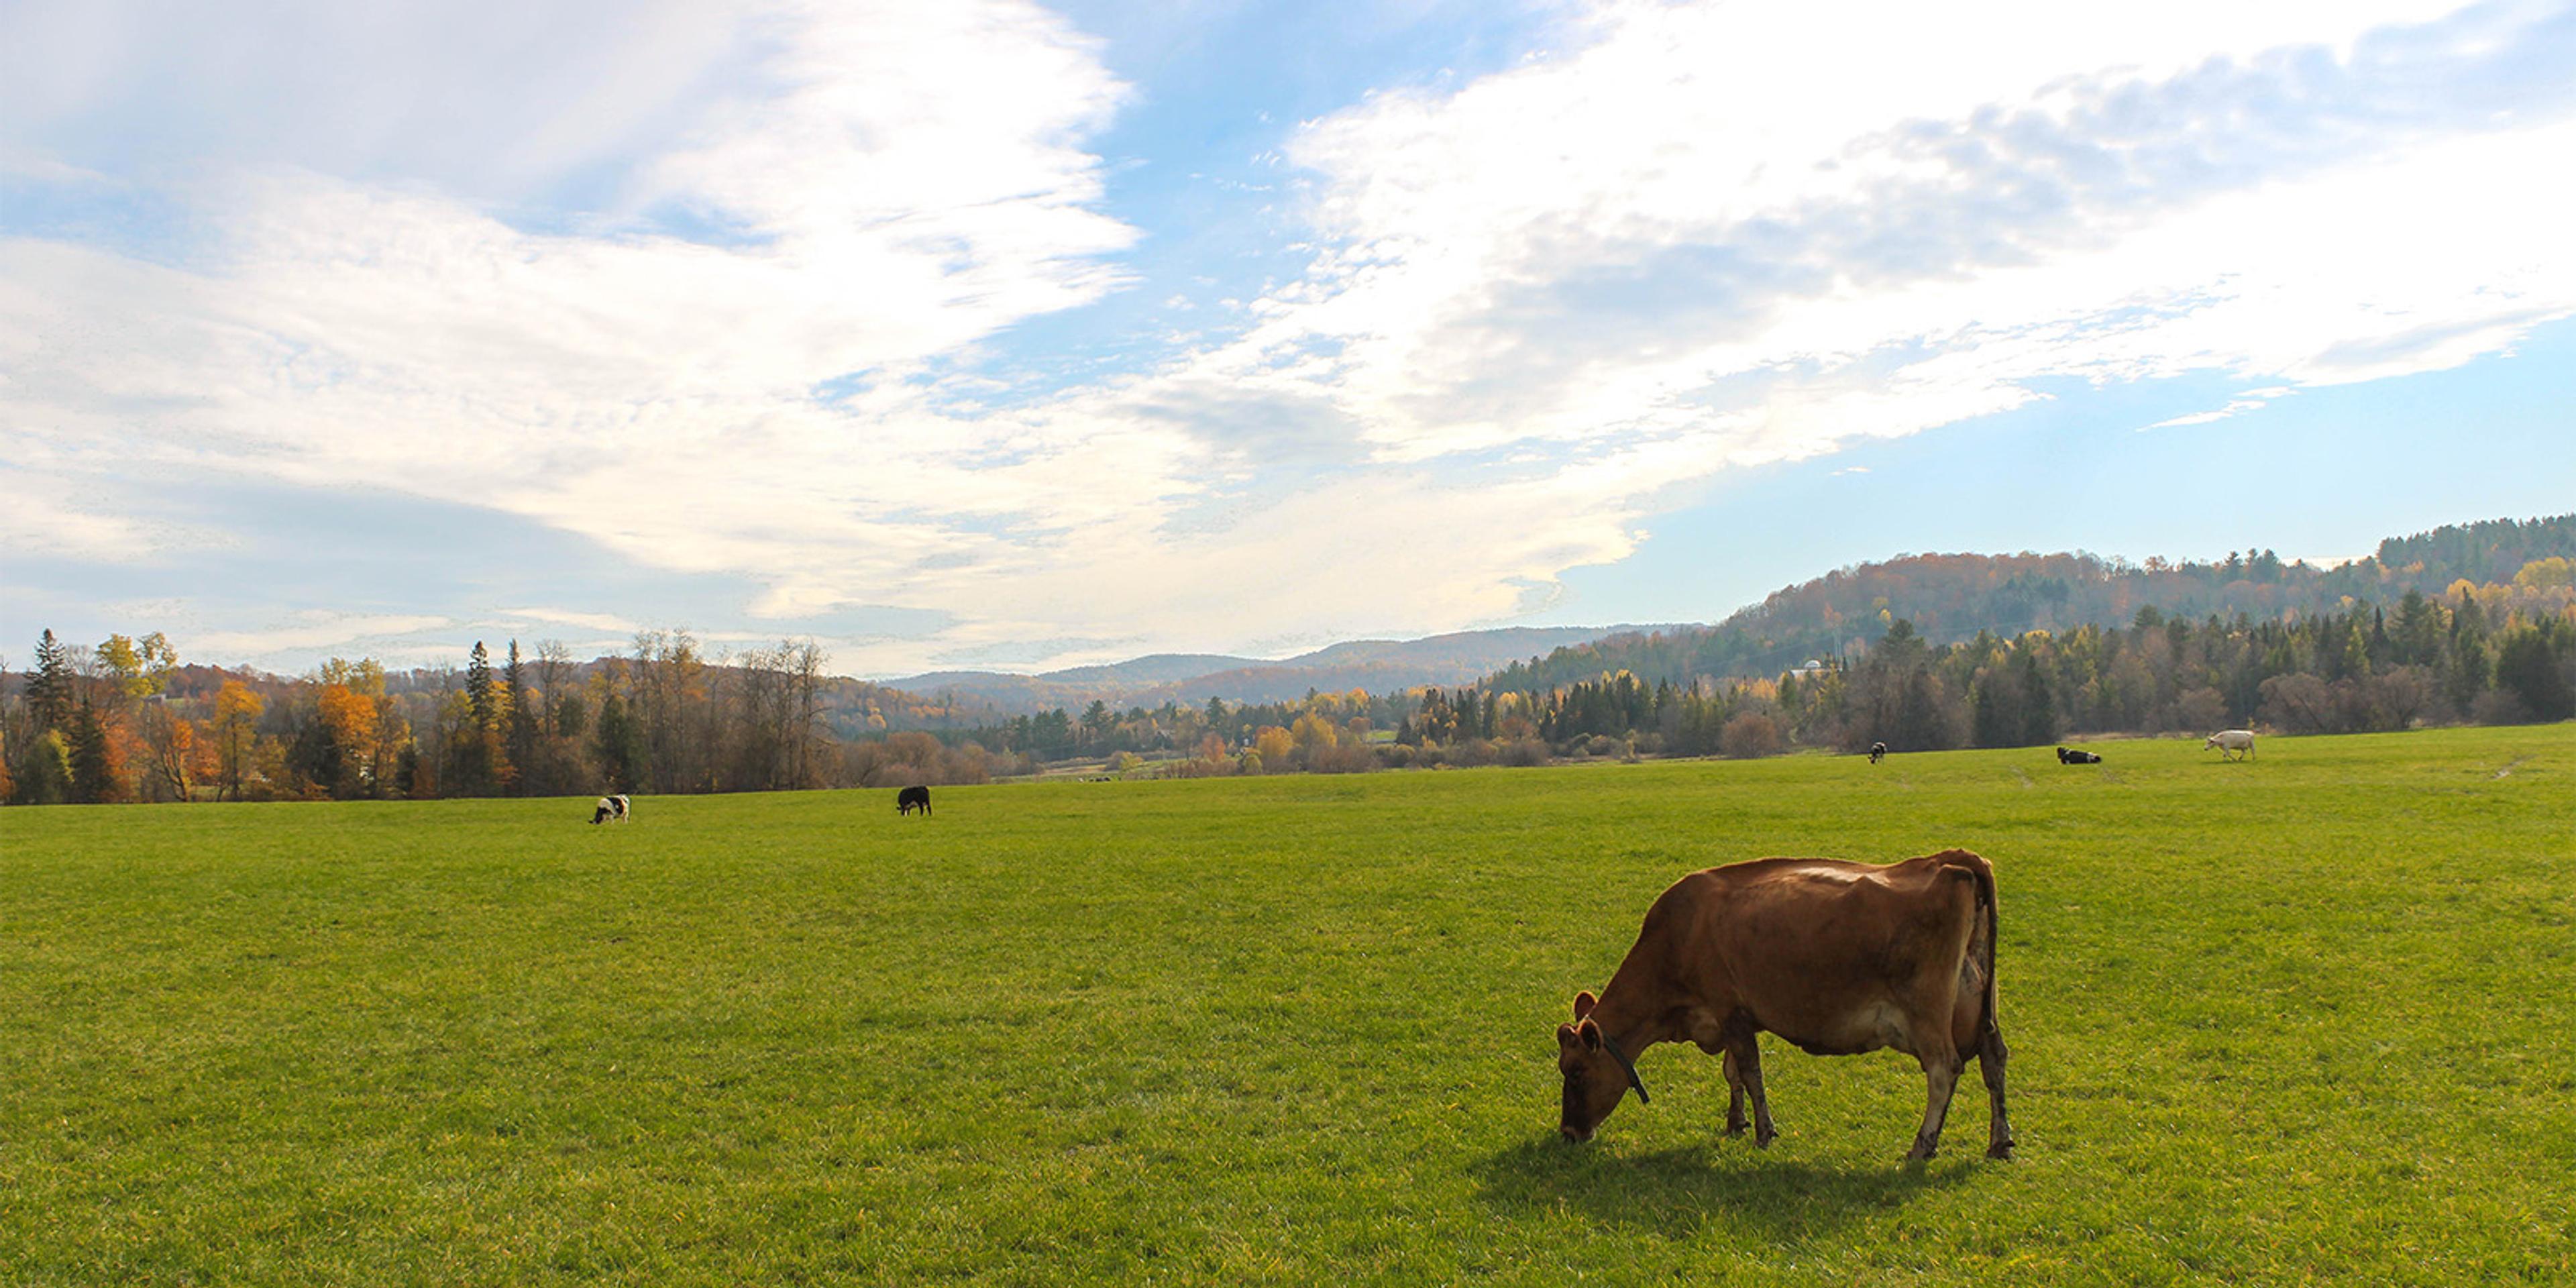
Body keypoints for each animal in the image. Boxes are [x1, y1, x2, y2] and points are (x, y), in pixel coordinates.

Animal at [1554, 849, 2013, 1163]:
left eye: (1575, 1072)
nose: (1568, 1133)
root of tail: (1948, 859)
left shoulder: (1730, 1010)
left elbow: (1749, 1071)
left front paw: (1763, 1131)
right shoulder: (1733, 1016)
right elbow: (1732, 1072)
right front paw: (1735, 1123)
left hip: (1927, 1013)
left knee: (1943, 1069)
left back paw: (1922, 1146)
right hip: (1979, 1000)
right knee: (1994, 1058)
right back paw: (2000, 1142)